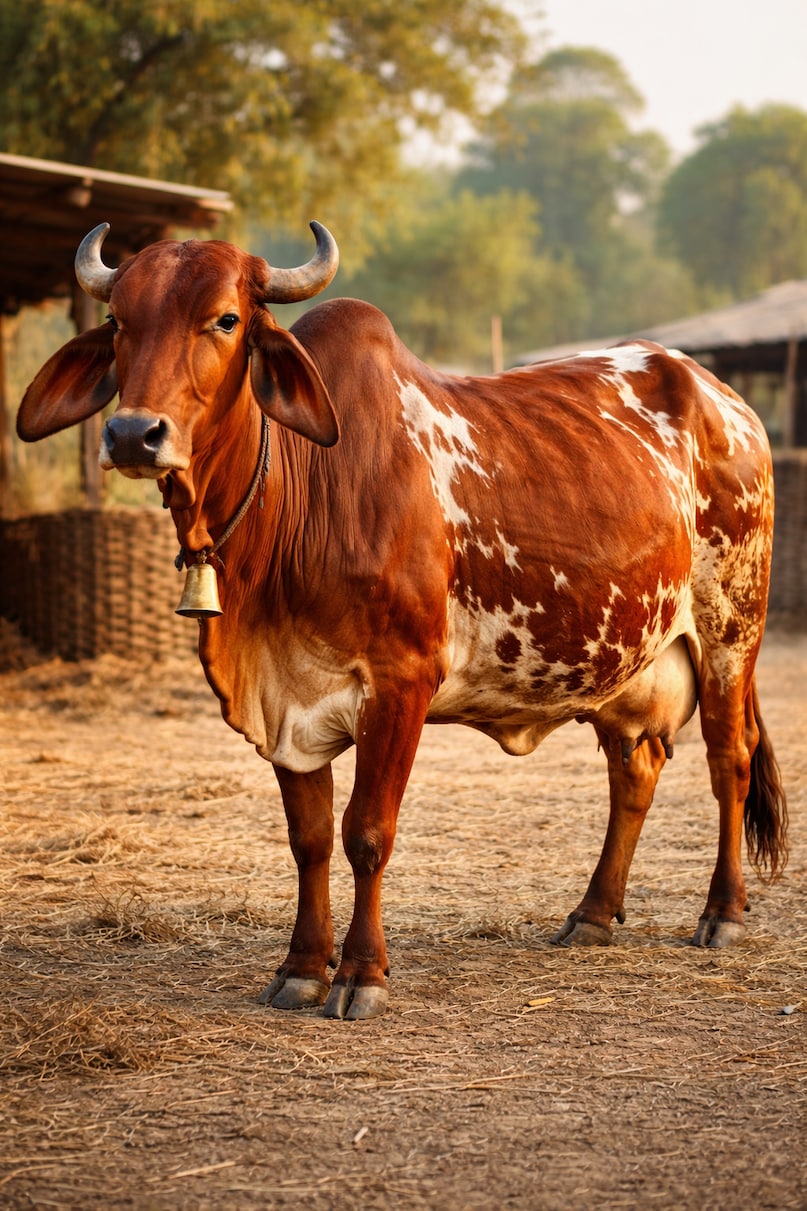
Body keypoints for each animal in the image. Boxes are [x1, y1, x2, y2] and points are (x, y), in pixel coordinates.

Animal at [17, 221, 787, 1020]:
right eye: (118, 322)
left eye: (225, 320)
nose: (132, 433)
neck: (301, 497)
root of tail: (720, 397)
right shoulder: (286, 701)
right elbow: (309, 838)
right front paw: (301, 966)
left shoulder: (401, 683)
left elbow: (366, 832)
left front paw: (360, 973)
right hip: (623, 660)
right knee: (634, 768)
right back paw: (593, 914)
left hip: (731, 634)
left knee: (729, 760)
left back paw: (722, 912)